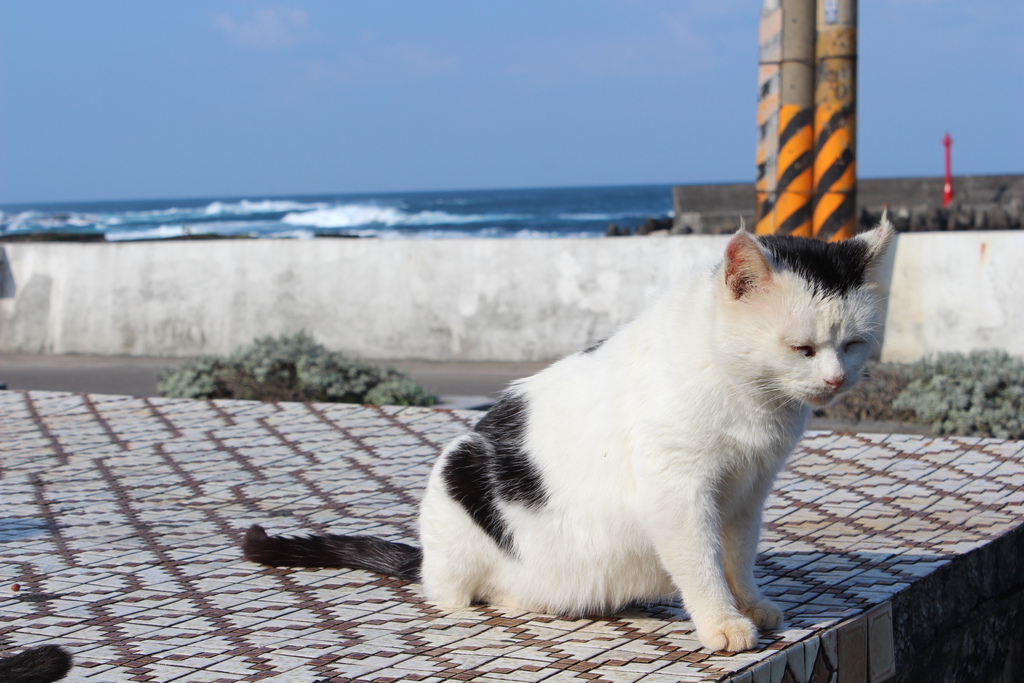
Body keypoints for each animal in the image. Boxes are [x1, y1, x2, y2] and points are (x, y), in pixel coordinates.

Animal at [243, 222, 892, 655]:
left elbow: (737, 556)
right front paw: (722, 623)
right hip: (458, 480)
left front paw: (750, 604)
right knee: (456, 592)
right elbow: (701, 562)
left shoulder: (746, 493)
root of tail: (426, 555)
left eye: (853, 344)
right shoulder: (678, 494)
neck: (751, 403)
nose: (836, 379)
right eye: (801, 348)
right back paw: (524, 597)